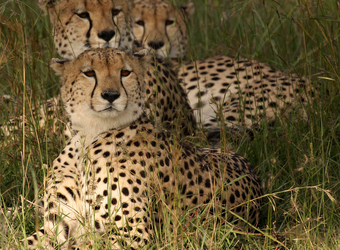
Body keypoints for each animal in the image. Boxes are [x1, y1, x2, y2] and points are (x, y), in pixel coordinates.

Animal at [23, 47, 262, 249]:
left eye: (125, 72)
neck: (91, 133)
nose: (111, 95)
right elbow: (25, 242)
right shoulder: (57, 227)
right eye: (89, 73)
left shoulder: (132, 234)